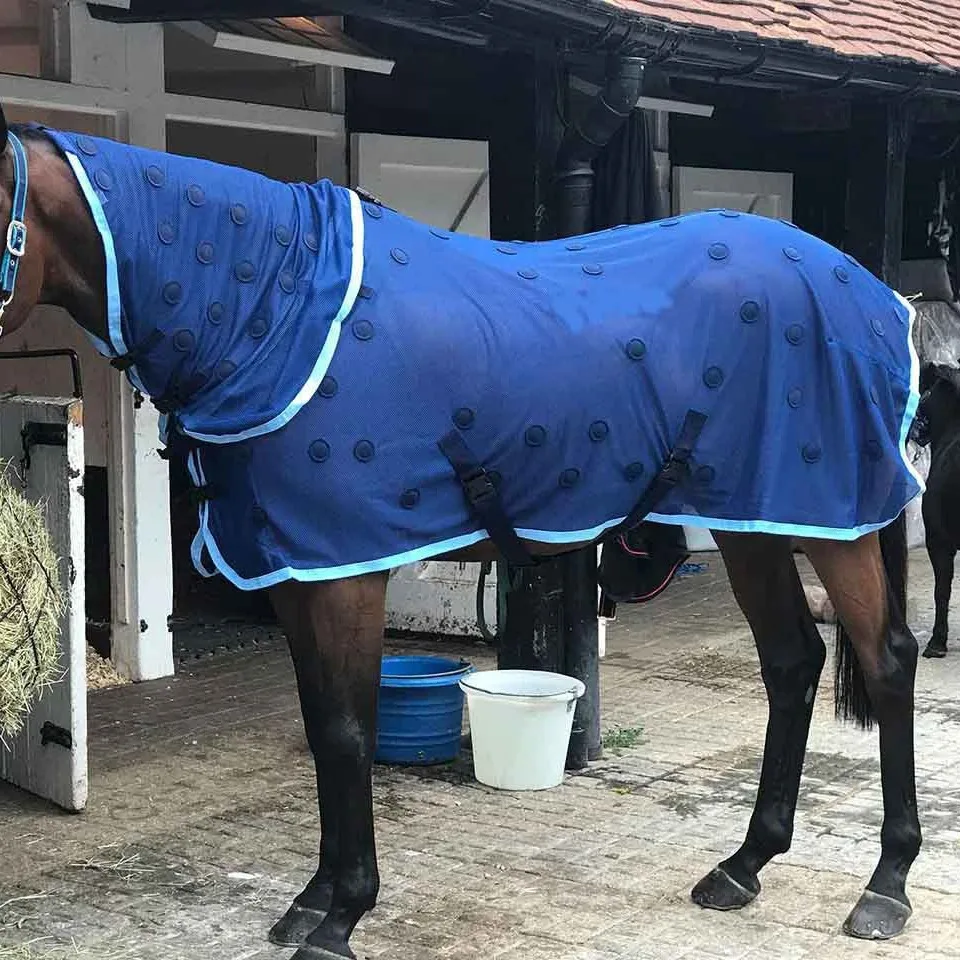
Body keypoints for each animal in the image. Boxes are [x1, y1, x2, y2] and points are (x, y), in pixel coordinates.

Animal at [0, 103, 926, 957]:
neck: (275, 311)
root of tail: (874, 294)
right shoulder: (298, 574)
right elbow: (323, 727)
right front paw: (313, 899)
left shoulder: (344, 576)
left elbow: (349, 733)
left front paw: (341, 917)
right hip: (755, 524)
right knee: (792, 661)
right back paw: (744, 865)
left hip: (833, 524)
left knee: (885, 660)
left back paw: (885, 887)